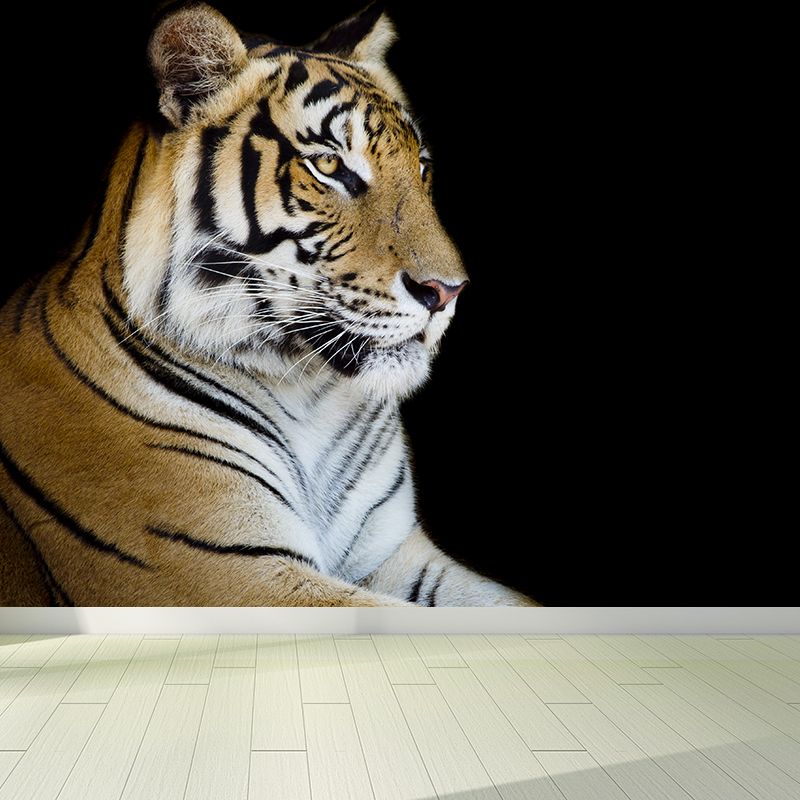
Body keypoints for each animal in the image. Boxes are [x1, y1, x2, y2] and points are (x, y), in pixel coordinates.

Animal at [0, 3, 536, 607]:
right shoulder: (230, 570)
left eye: (420, 167)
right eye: (329, 166)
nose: (448, 291)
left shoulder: (392, 554)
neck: (308, 394)